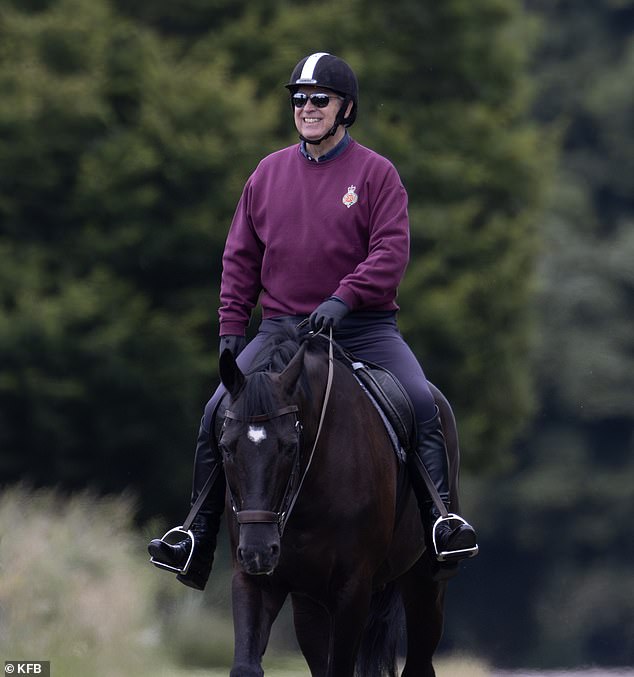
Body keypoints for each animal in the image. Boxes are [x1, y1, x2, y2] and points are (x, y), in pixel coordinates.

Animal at [215, 324, 456, 672]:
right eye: (225, 447)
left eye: (290, 446)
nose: (259, 552)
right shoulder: (255, 581)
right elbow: (245, 665)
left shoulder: (352, 590)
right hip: (309, 603)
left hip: (425, 585)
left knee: (419, 663)